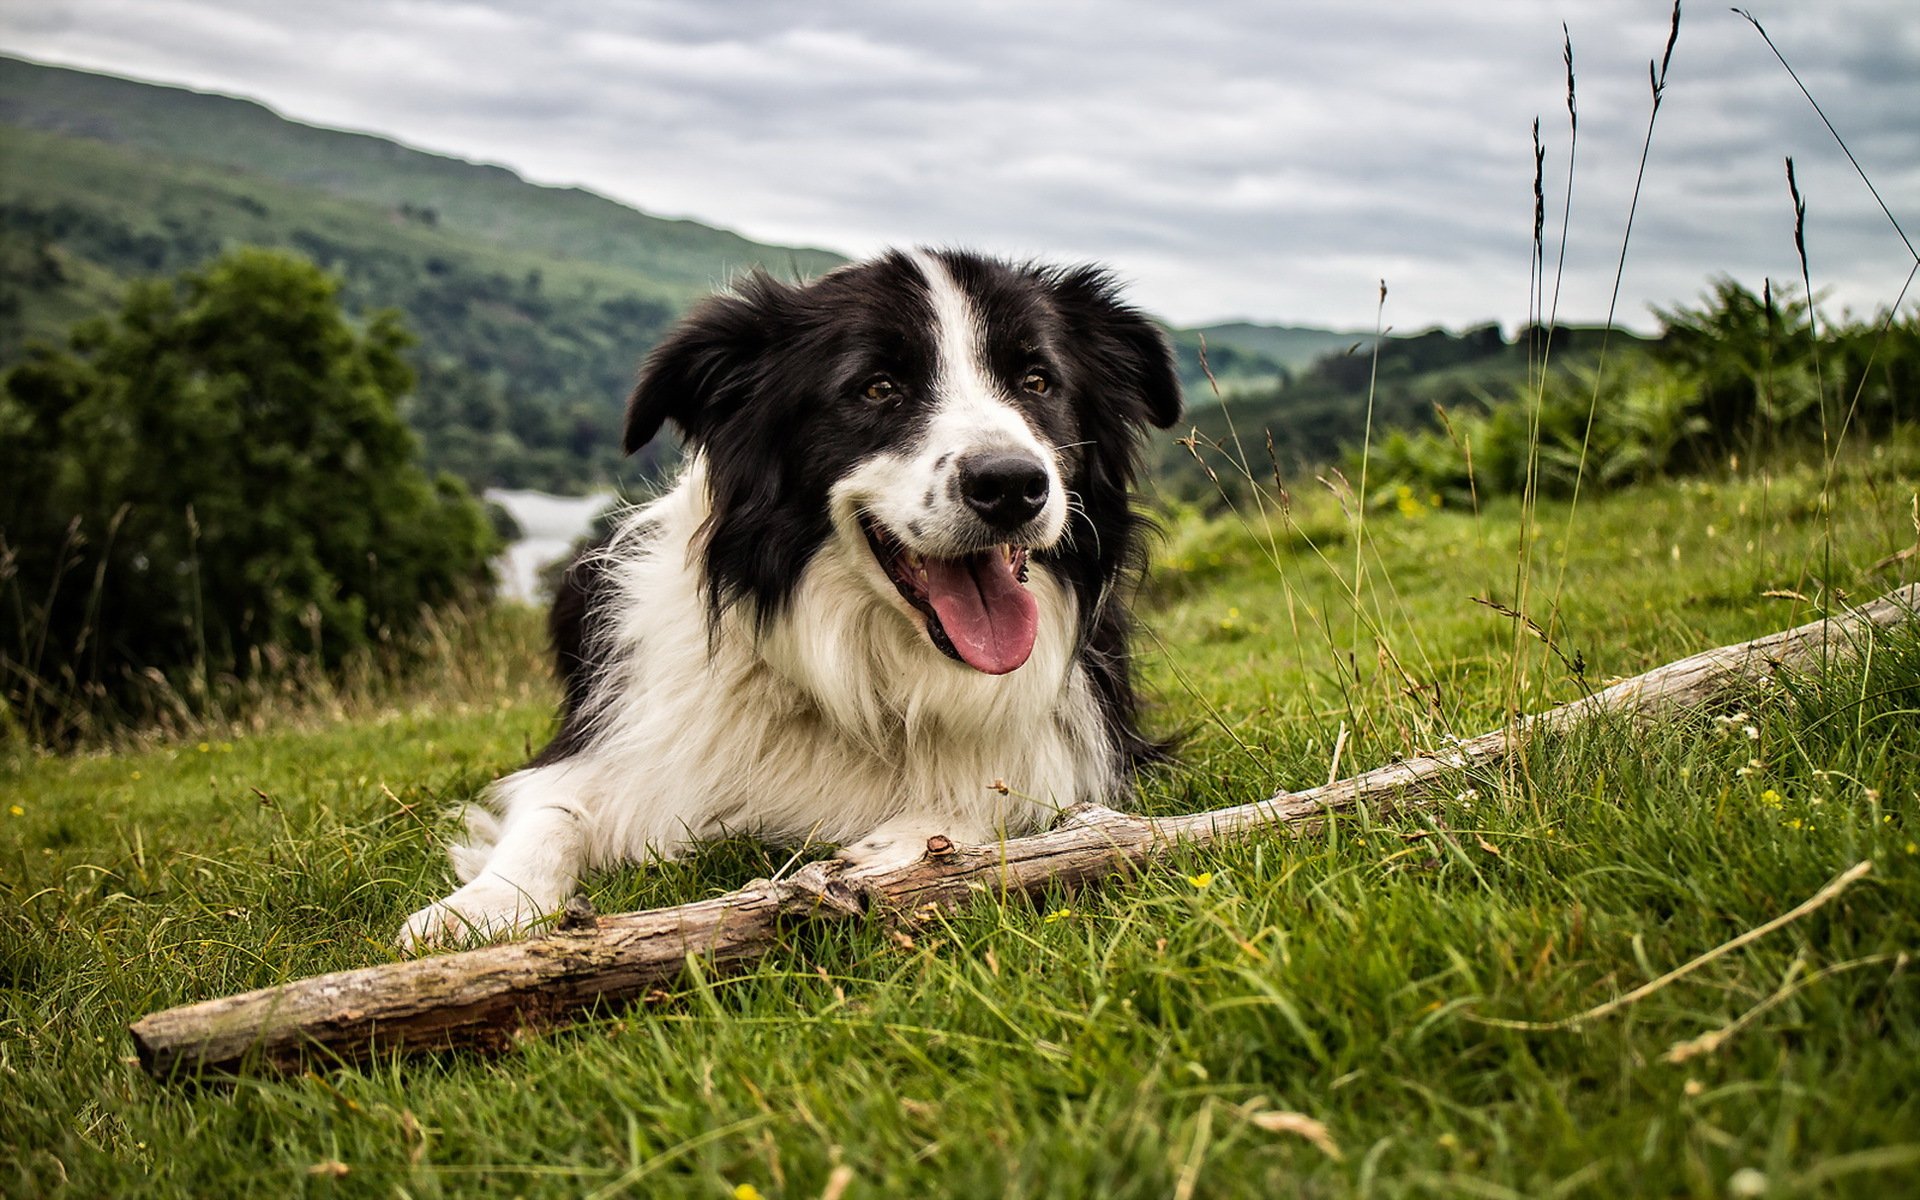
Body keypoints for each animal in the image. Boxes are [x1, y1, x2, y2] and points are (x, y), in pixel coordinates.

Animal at [397, 247, 1175, 948]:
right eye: (878, 388)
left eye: (1038, 380)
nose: (1012, 484)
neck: (865, 673)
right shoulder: (606, 743)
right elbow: (551, 811)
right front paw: (482, 905)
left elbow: (1014, 795)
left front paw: (910, 843)